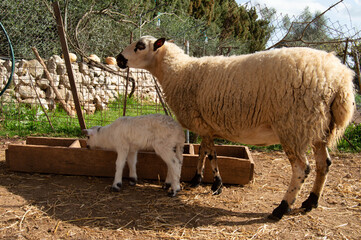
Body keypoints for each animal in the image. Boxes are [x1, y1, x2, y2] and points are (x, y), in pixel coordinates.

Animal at [116, 35, 354, 219]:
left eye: (140, 46)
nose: (118, 58)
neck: (177, 72)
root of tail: (341, 79)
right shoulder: (205, 124)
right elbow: (203, 151)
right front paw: (197, 179)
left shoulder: (201, 122)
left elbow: (211, 154)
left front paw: (216, 185)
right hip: (319, 128)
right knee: (325, 164)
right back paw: (311, 202)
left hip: (294, 125)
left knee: (301, 169)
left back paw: (282, 208)